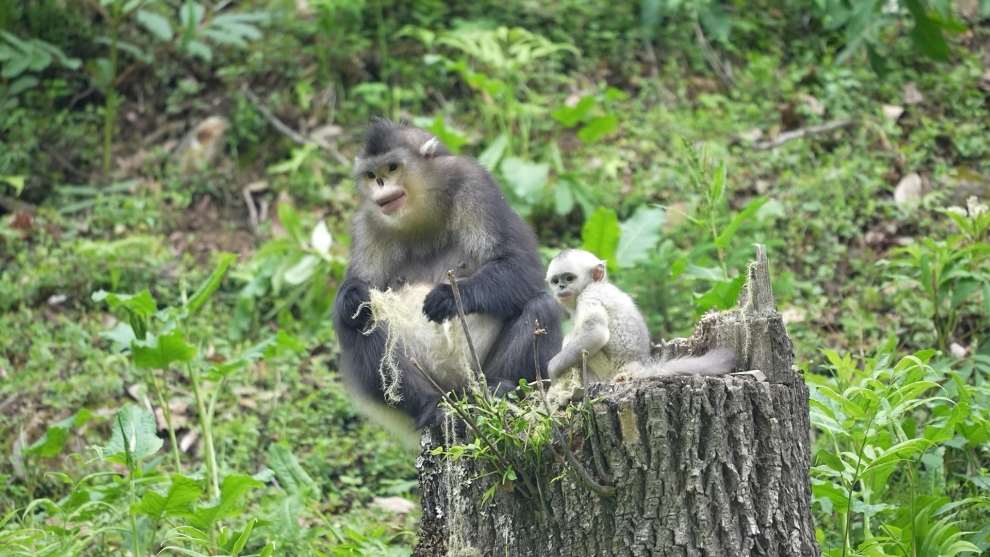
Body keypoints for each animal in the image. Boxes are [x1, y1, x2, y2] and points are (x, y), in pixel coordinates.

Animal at [336, 117, 560, 444]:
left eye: (392, 167)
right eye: (371, 174)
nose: (380, 184)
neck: (421, 211)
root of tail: (460, 392)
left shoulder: (475, 184)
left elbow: (522, 267)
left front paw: (450, 297)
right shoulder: (367, 221)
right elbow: (358, 294)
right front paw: (353, 296)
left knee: (542, 306)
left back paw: (500, 387)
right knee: (358, 324)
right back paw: (433, 407)